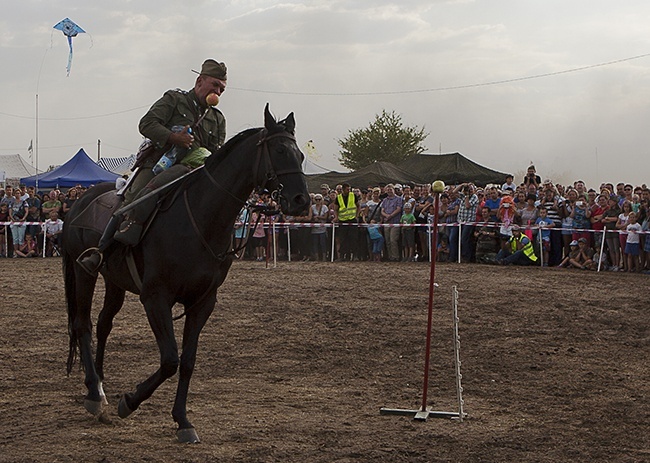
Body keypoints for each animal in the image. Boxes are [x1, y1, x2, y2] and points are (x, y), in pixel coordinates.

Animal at [62, 106, 310, 446]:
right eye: (281, 150)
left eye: (301, 154)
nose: (302, 201)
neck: (201, 220)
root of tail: (79, 203)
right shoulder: (156, 298)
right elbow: (170, 359)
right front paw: (131, 401)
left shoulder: (202, 303)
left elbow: (188, 362)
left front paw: (182, 421)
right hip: (83, 272)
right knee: (83, 325)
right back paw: (93, 394)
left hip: (114, 281)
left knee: (103, 324)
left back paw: (100, 381)